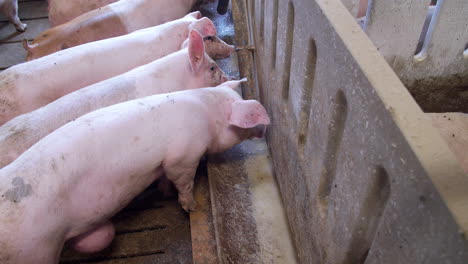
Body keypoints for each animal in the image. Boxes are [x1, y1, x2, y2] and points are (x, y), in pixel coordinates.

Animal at [0, 80, 270, 264]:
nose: (265, 130)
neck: (207, 113)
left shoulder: (165, 162)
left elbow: (163, 176)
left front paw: (164, 191)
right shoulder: (183, 155)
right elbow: (182, 181)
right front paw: (192, 207)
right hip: (34, 251)